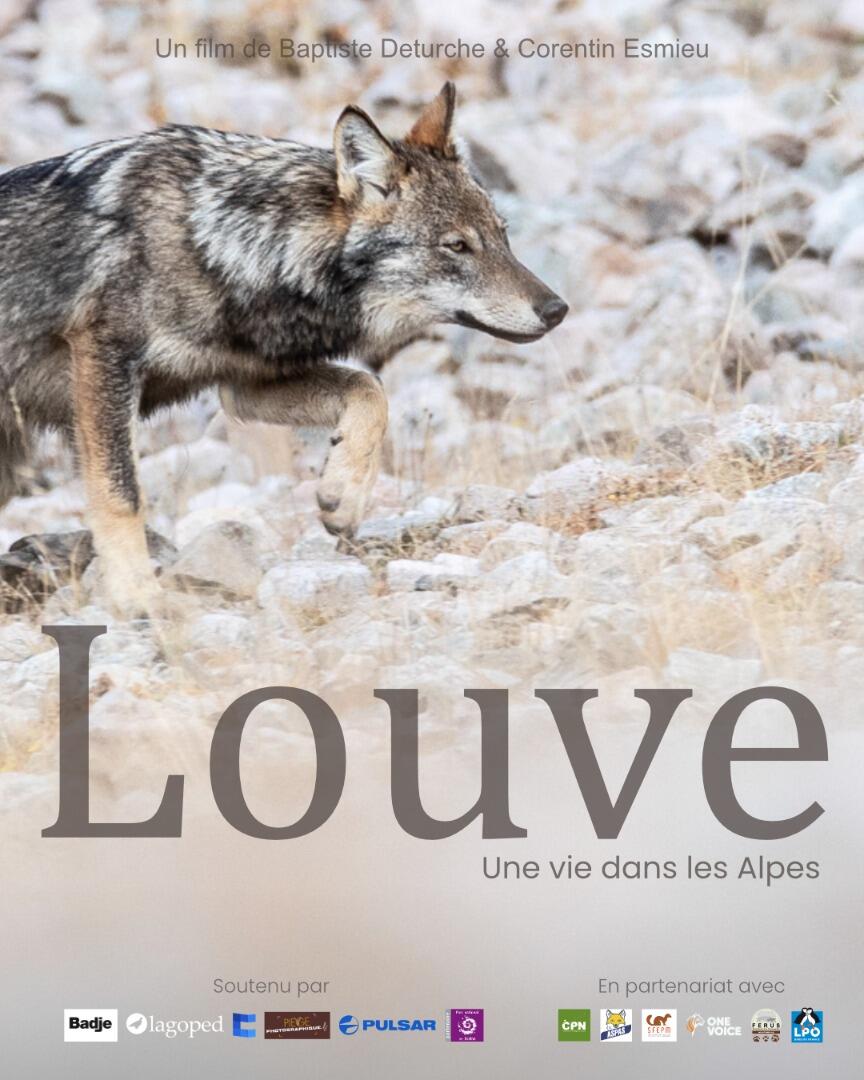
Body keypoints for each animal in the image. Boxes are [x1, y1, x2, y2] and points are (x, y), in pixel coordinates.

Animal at [0, 83, 567, 614]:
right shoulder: (104, 357)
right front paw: (139, 598)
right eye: (457, 246)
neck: (221, 243)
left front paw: (343, 495)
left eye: (503, 236)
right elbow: (121, 493)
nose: (557, 309)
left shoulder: (243, 385)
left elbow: (370, 391)